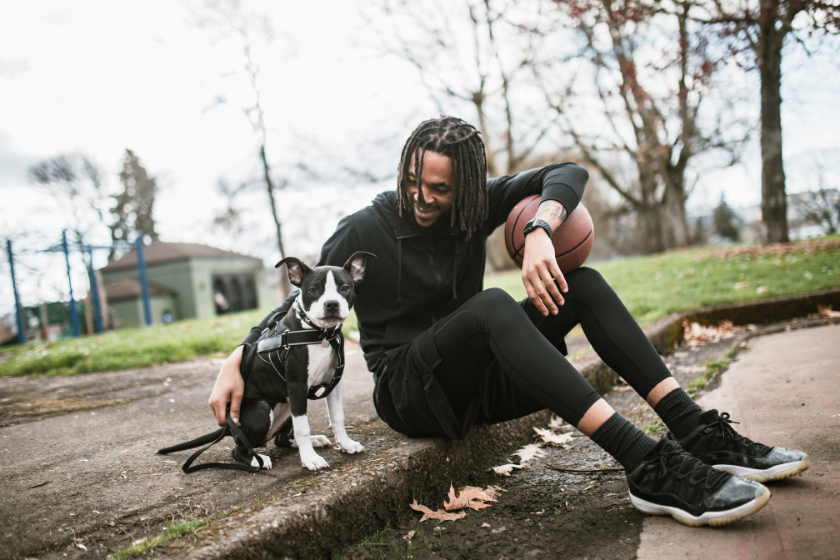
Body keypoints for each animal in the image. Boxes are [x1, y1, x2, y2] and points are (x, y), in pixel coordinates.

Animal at [160, 252, 374, 470]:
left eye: (344, 288)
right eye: (313, 290)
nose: (331, 304)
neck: (319, 334)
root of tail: (229, 425)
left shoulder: (333, 383)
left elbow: (337, 416)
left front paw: (346, 444)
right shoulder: (297, 385)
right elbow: (302, 428)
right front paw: (310, 459)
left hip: (287, 406)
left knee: (281, 439)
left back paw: (314, 440)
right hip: (263, 409)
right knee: (238, 448)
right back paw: (256, 459)